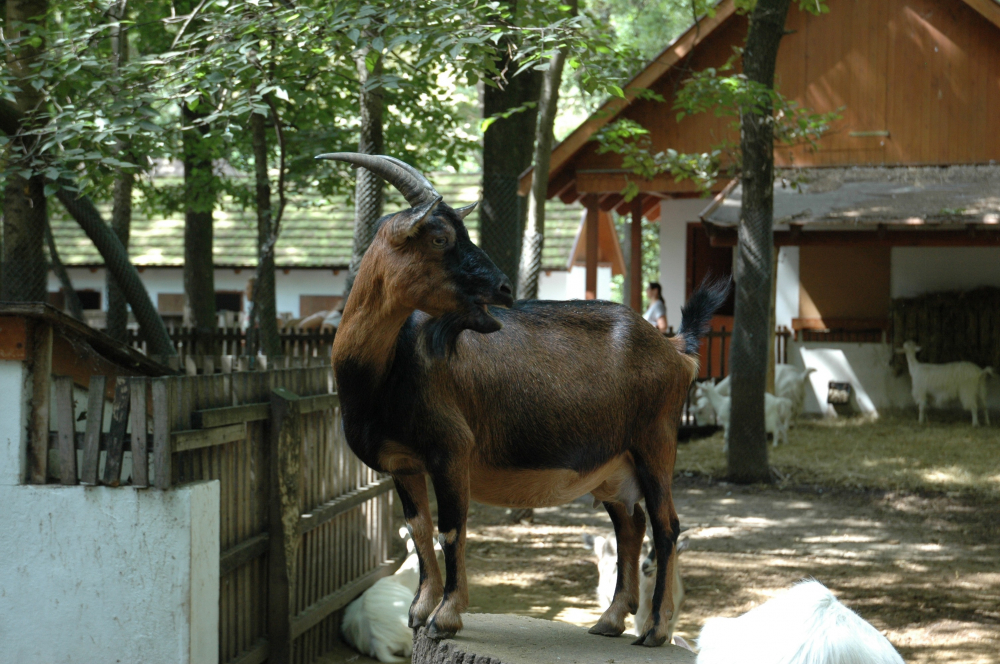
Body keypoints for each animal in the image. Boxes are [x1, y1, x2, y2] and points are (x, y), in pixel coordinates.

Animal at [317, 153, 729, 647]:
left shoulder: (451, 450)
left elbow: (450, 529)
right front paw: (418, 612)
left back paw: (655, 629)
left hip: (656, 444)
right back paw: (610, 620)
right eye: (440, 237)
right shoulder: (403, 463)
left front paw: (445, 617)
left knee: (667, 527)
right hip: (614, 466)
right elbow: (419, 528)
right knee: (631, 527)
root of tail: (675, 349)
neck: (386, 366)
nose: (504, 289)